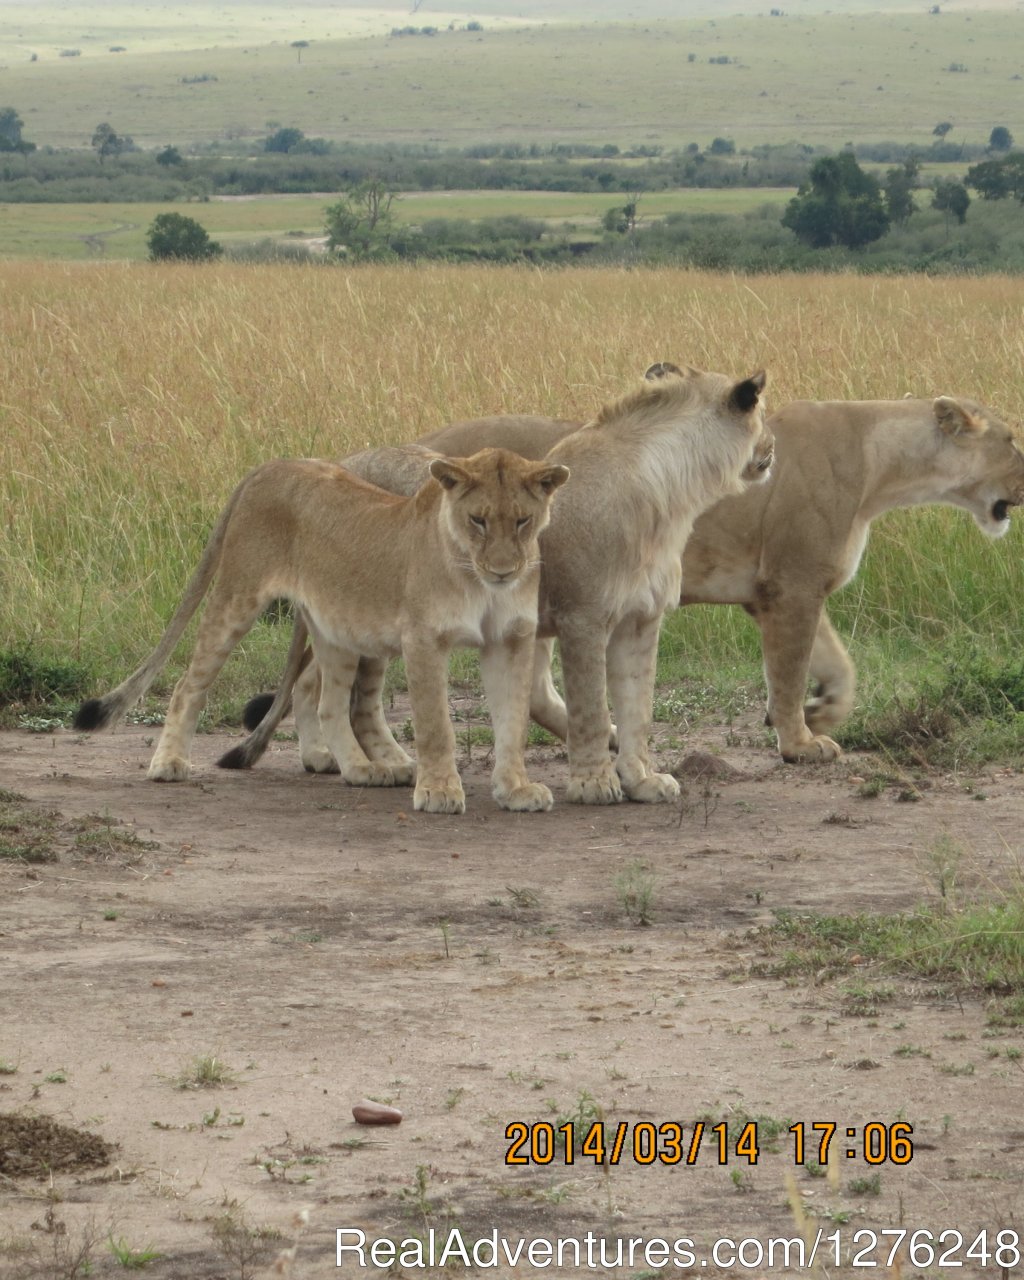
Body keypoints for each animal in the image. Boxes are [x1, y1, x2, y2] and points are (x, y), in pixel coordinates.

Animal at [73, 445, 568, 814]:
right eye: (478, 520)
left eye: (522, 520)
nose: (503, 571)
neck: (479, 582)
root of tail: (271, 465)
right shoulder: (424, 639)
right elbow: (435, 724)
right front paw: (440, 791)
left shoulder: (510, 640)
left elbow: (513, 721)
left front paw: (516, 789)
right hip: (238, 598)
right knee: (188, 684)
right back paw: (169, 762)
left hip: (337, 628)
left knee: (326, 701)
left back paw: (361, 768)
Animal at [235, 363, 773, 798]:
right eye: (764, 416)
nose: (773, 448)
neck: (672, 494)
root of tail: (340, 462)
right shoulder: (583, 616)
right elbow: (592, 704)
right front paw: (594, 782)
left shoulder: (641, 620)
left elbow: (638, 704)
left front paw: (641, 778)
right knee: (334, 689)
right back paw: (355, 761)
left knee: (314, 679)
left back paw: (338, 758)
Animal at [245, 384, 1024, 762]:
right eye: (1014, 438)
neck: (883, 465)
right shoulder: (793, 586)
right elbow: (790, 670)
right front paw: (800, 742)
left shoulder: (780, 590)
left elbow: (839, 664)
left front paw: (824, 711)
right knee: (317, 680)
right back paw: (331, 758)